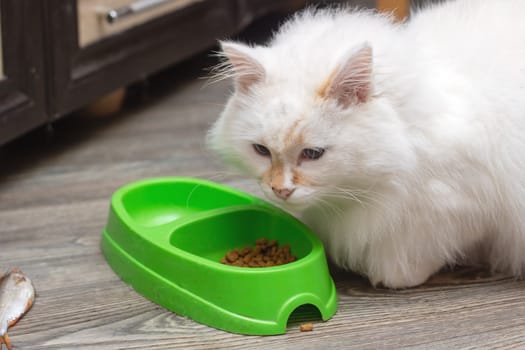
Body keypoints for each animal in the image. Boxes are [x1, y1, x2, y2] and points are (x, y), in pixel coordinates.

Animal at [207, 1, 524, 288]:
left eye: (312, 154)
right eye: (261, 151)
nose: (281, 190)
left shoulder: (459, 208)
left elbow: (417, 254)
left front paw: (395, 275)